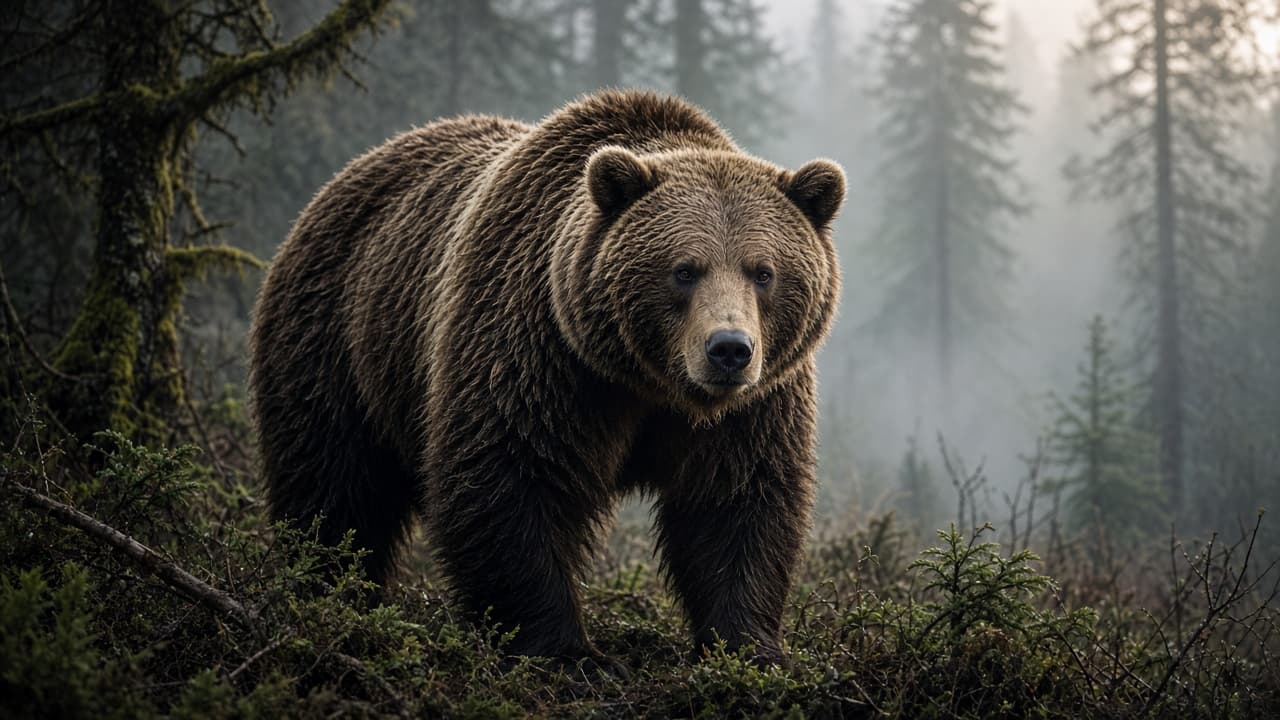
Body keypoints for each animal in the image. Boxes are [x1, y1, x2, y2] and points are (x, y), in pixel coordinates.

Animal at [248, 90, 844, 669]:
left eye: (762, 272)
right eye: (683, 269)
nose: (729, 350)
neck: (645, 380)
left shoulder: (754, 406)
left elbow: (736, 503)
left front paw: (750, 649)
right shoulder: (536, 353)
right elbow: (511, 479)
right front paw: (567, 653)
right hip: (337, 342)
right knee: (335, 486)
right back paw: (330, 593)